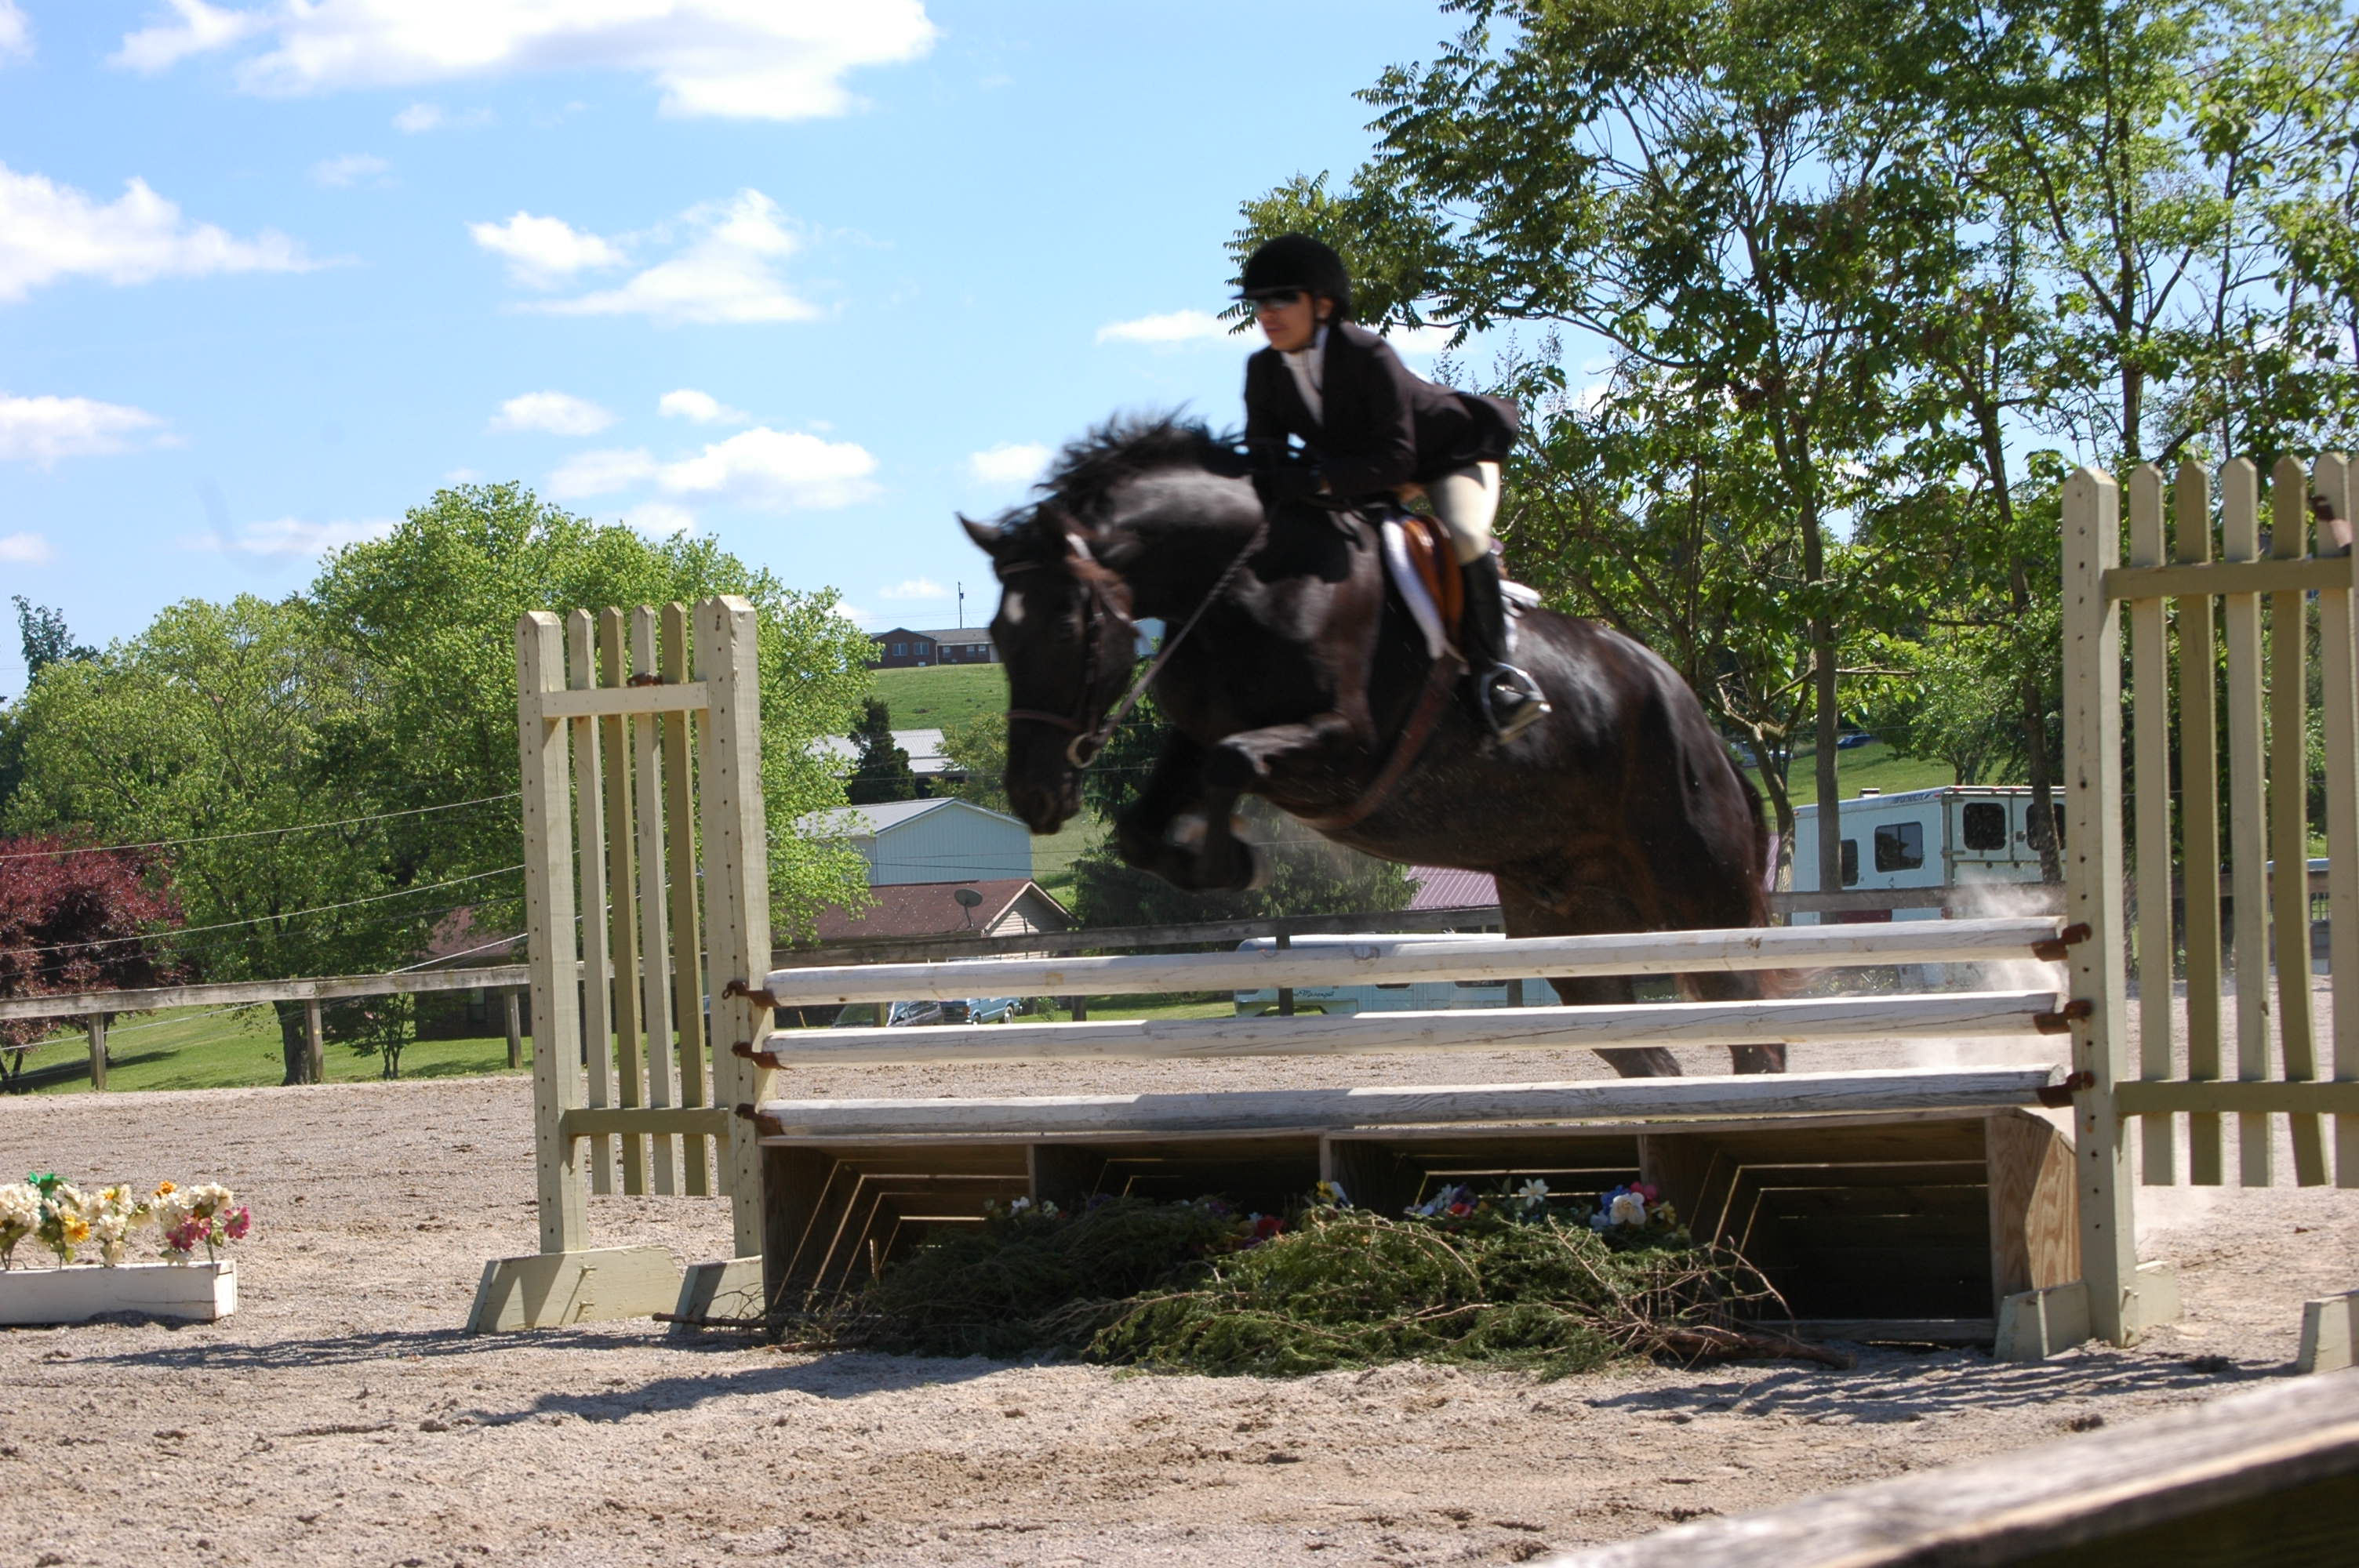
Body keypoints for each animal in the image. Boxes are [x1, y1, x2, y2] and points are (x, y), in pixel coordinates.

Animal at [958, 415, 1774, 1075]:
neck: (1239, 585)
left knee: (1752, 1028)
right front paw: (1216, 863)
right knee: (1645, 1051)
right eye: (996, 633)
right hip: (1568, 922)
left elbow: (1234, 762)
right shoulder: (1199, 734)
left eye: (1068, 628)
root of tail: (1700, 724)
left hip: (1699, 883)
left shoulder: (1349, 747)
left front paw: (1235, 862)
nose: (1034, 796)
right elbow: (1146, 822)